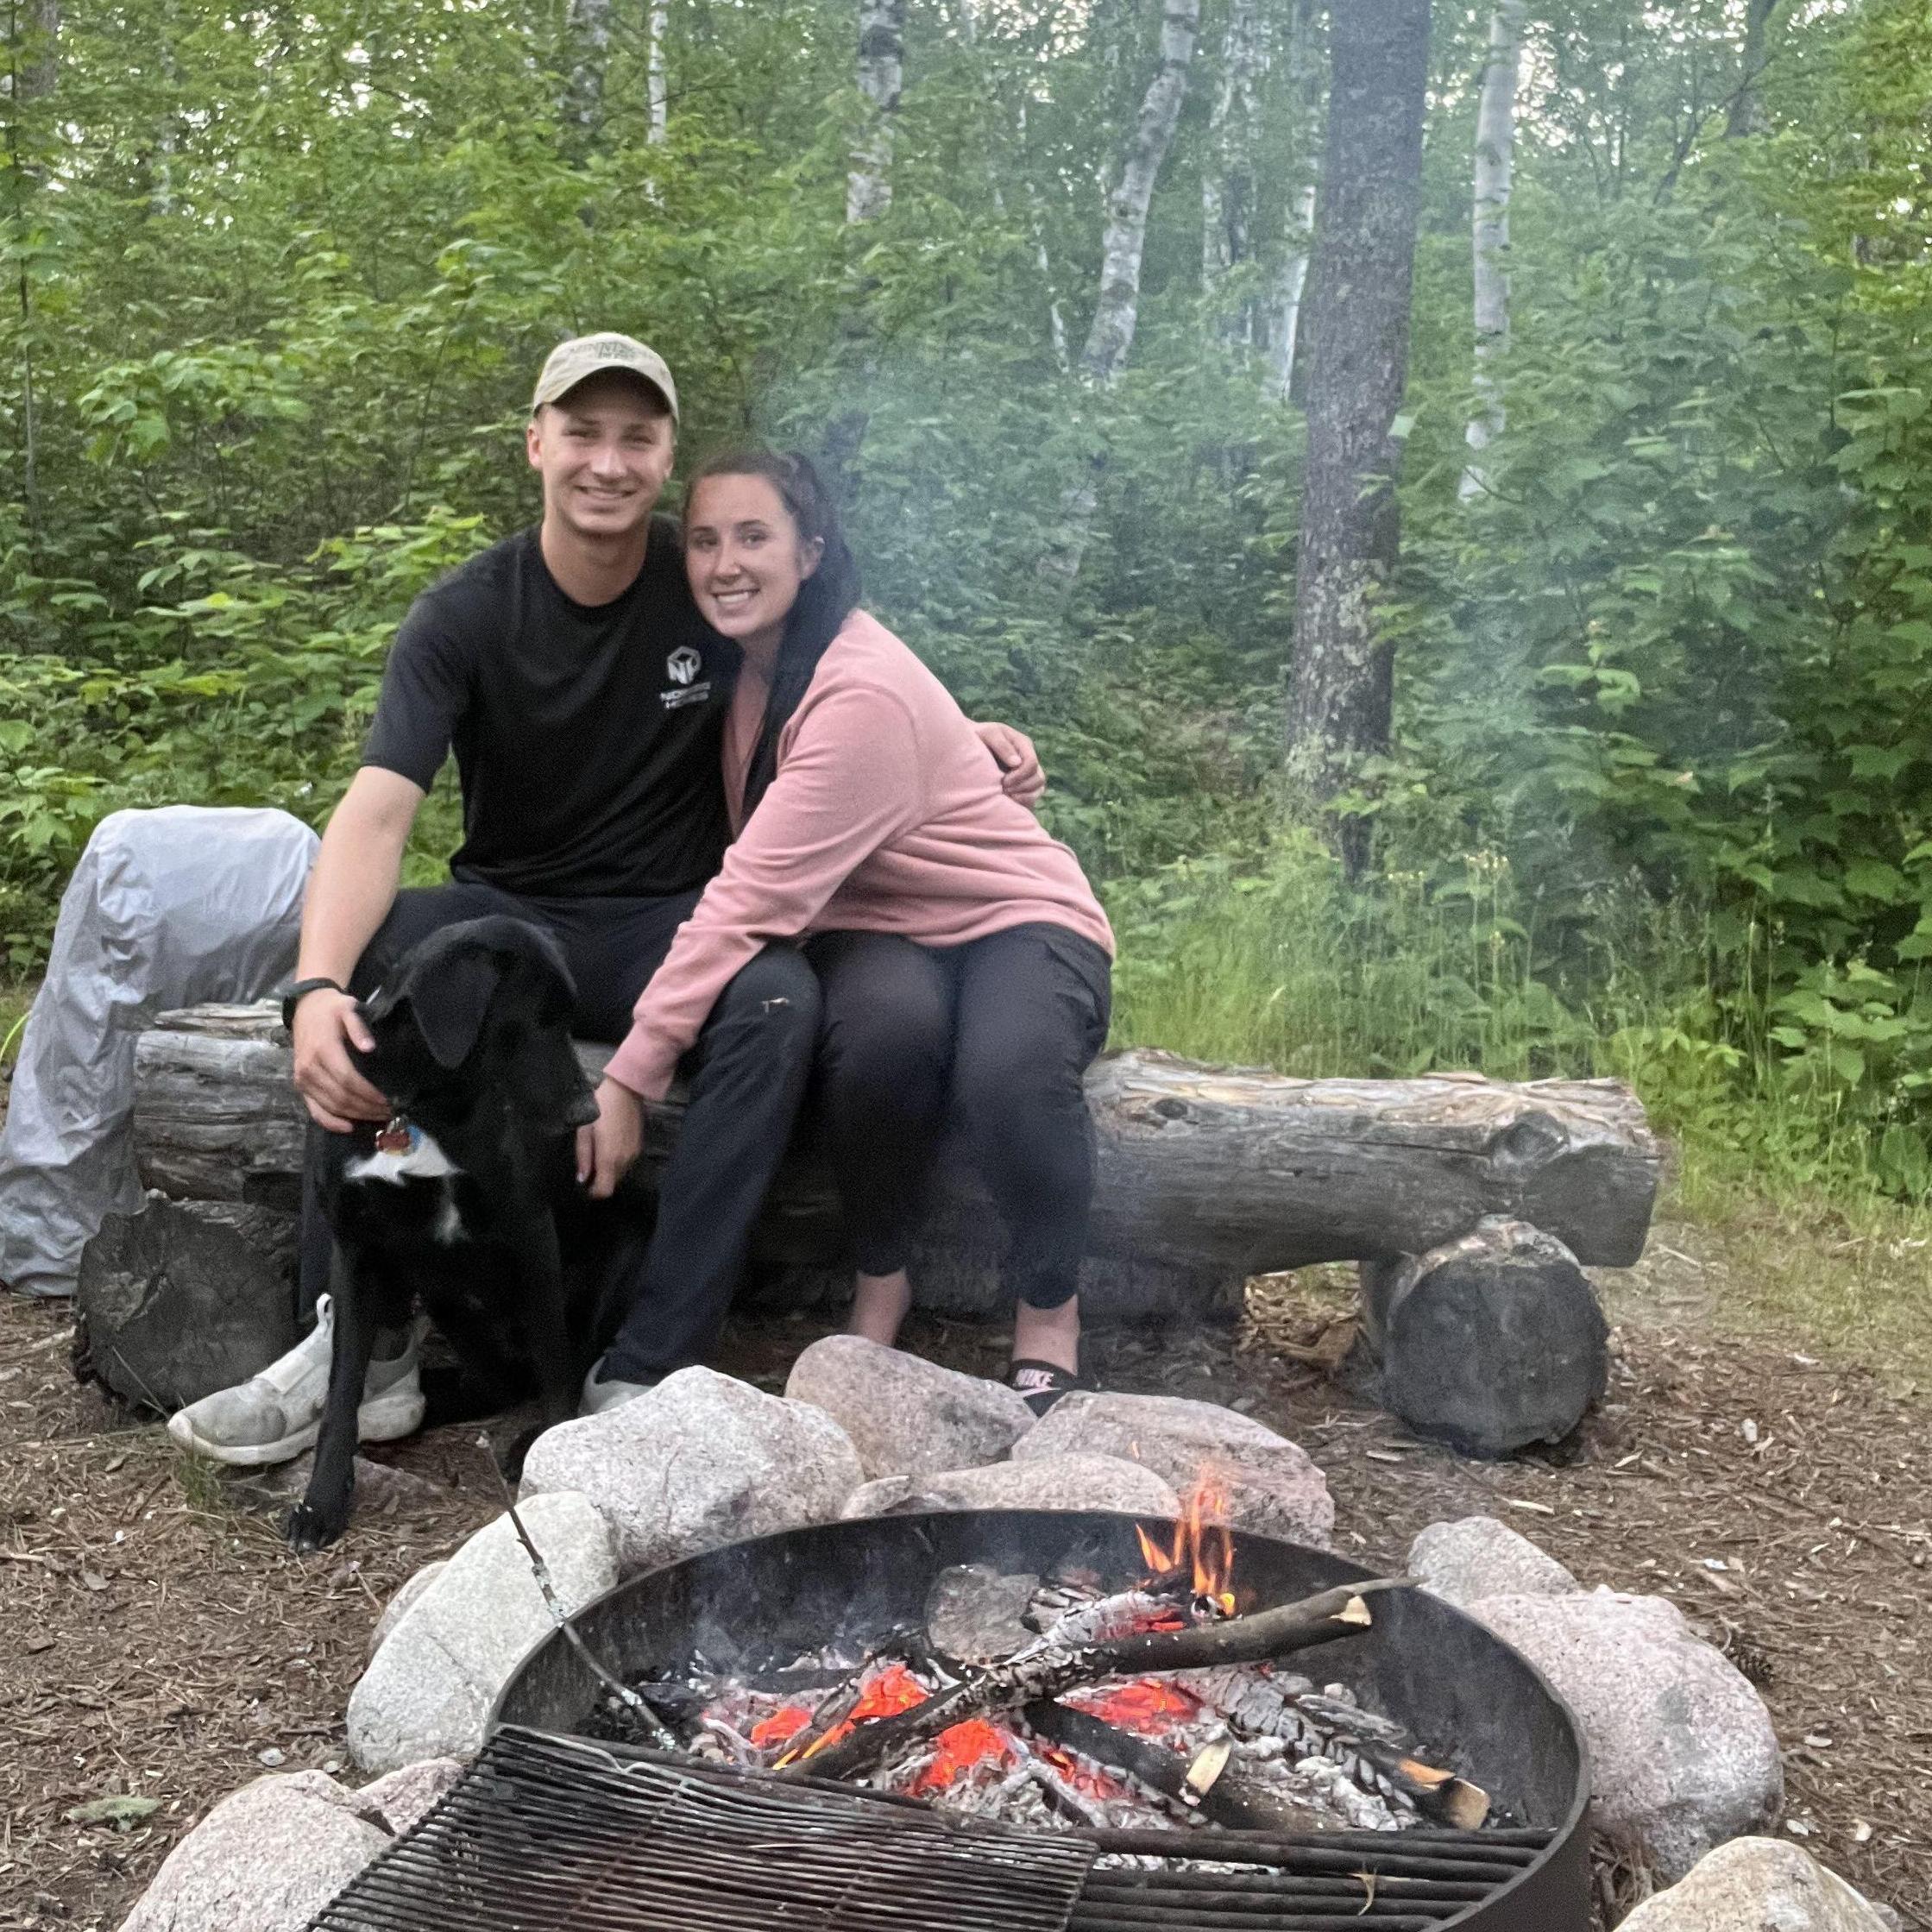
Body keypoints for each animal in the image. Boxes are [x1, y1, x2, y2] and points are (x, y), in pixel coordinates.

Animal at [286, 916, 599, 1553]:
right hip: (447, 1298)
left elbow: (556, 1360)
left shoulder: (533, 1235)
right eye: (537, 1020)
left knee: (553, 1363)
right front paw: (321, 1501)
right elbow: (341, 1391)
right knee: (496, 1380)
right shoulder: (355, 1252)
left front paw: (551, 1446)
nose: (589, 1114)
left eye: (567, 1021)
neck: (418, 1109)